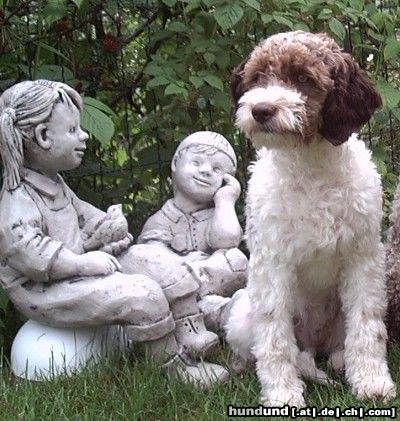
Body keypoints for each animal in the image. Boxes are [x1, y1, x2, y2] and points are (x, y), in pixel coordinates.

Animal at [227, 31, 396, 406]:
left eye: (304, 79)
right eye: (258, 77)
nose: (261, 110)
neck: (310, 167)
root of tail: (313, 344)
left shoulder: (363, 257)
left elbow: (367, 325)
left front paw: (372, 382)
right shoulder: (271, 264)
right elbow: (274, 337)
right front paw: (283, 396)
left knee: (337, 346)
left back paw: (339, 361)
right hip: (243, 309)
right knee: (266, 347)